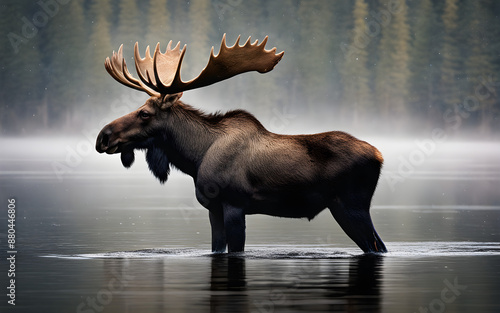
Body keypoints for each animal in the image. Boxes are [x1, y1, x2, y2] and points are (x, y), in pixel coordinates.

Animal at [96, 34, 386, 252]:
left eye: (145, 113)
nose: (103, 137)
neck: (196, 156)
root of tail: (380, 155)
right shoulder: (213, 209)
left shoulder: (234, 204)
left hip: (351, 205)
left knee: (376, 246)